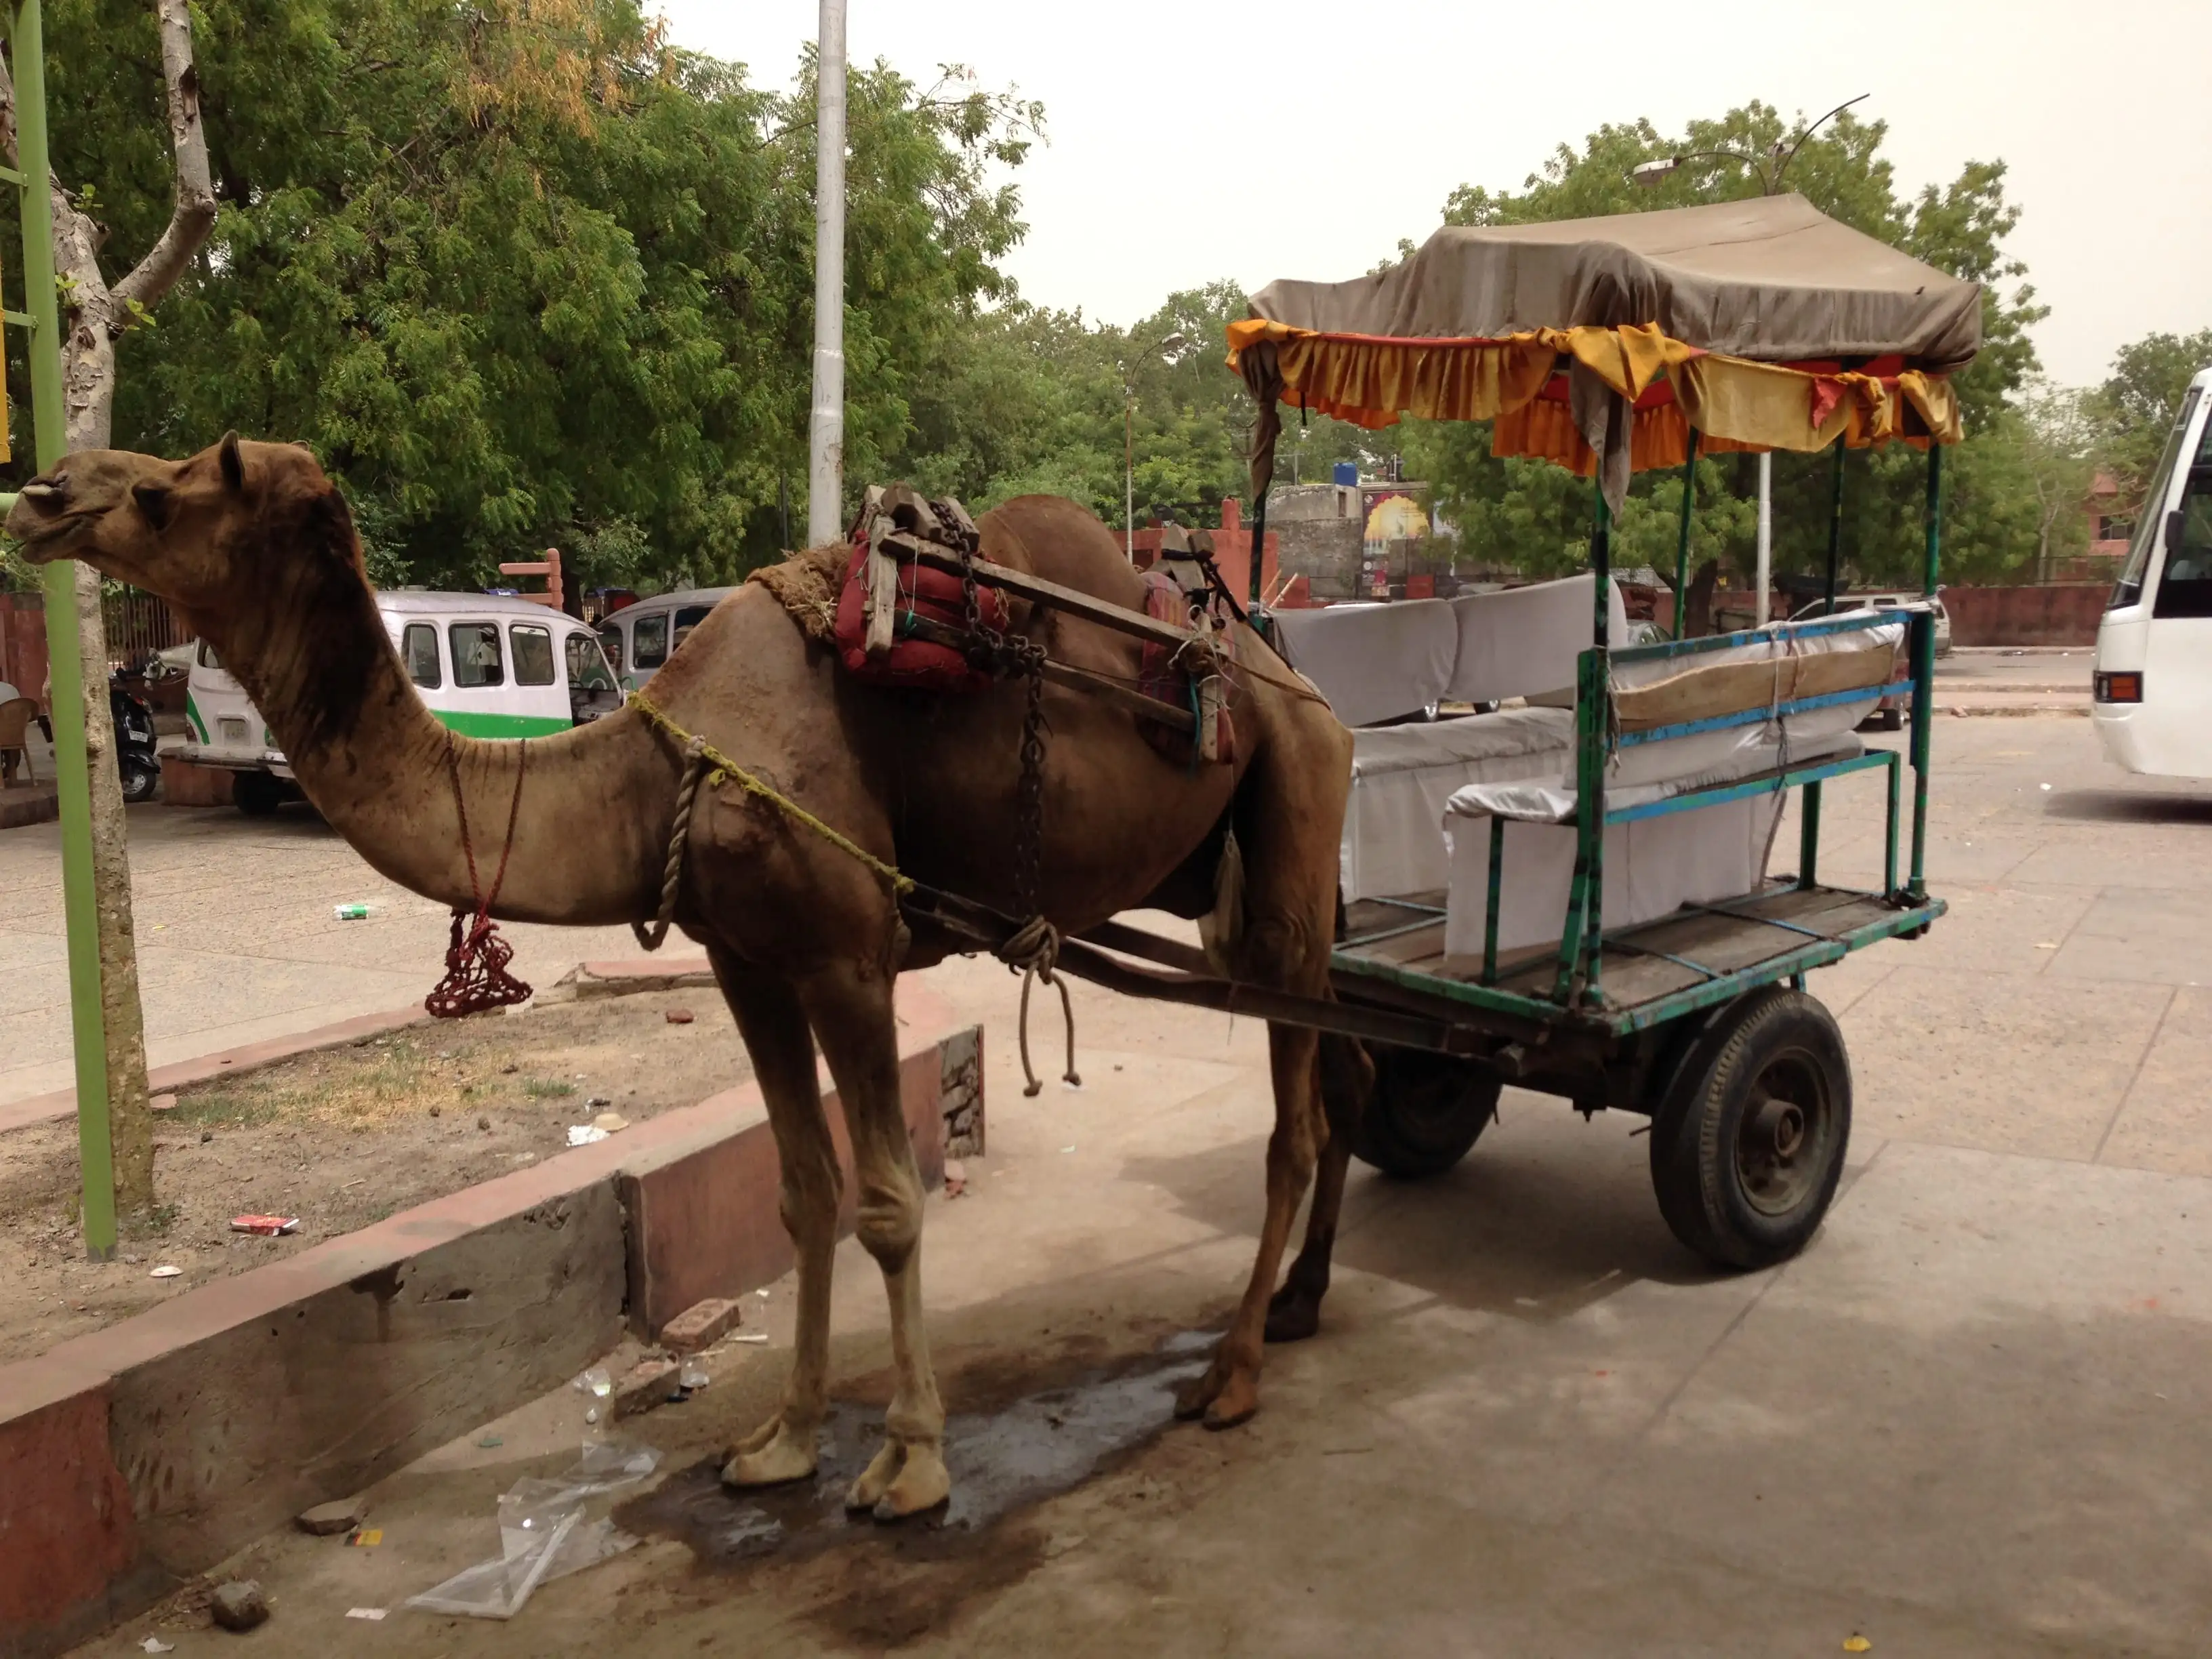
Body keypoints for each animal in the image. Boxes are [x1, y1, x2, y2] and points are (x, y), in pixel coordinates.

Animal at [9, 434, 1373, 1519]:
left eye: (166, 491)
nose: (43, 490)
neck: (660, 767)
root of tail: (1294, 676)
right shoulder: (747, 961)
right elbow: (803, 1194)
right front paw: (779, 1444)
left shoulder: (847, 954)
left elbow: (889, 1202)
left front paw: (909, 1464)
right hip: (1230, 883)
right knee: (1343, 1063)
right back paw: (1301, 1303)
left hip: (1293, 819)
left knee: (1295, 1119)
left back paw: (1234, 1371)